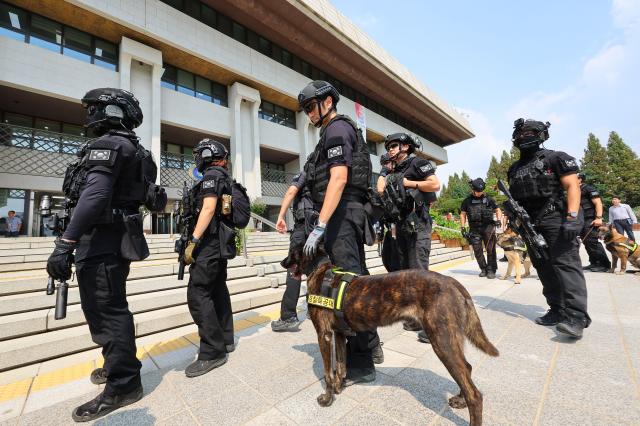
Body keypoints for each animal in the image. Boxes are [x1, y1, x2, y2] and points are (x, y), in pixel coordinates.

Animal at [290, 251, 500, 424]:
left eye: (292, 248)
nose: (284, 262)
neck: (321, 270)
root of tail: (453, 282)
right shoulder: (340, 335)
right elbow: (340, 368)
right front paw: (338, 389)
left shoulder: (324, 335)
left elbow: (328, 373)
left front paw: (327, 399)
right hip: (451, 339)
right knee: (467, 369)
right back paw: (460, 400)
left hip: (442, 341)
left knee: (474, 393)